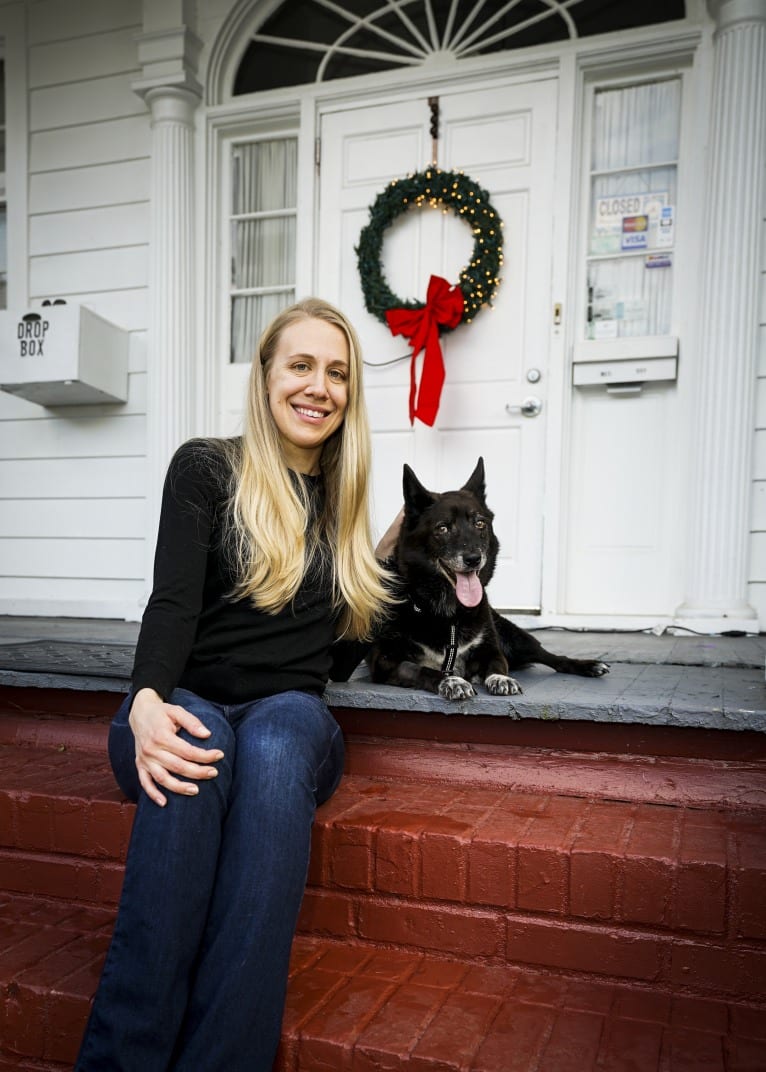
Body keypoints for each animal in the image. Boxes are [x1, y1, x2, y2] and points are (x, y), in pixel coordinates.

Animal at [368, 456, 612, 698]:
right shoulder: (385, 662)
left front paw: (500, 679)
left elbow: (497, 665)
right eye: (443, 528)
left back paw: (589, 665)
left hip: (514, 638)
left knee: (551, 657)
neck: (450, 615)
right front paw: (452, 681)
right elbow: (420, 669)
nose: (473, 559)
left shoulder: (492, 650)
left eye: (479, 524)